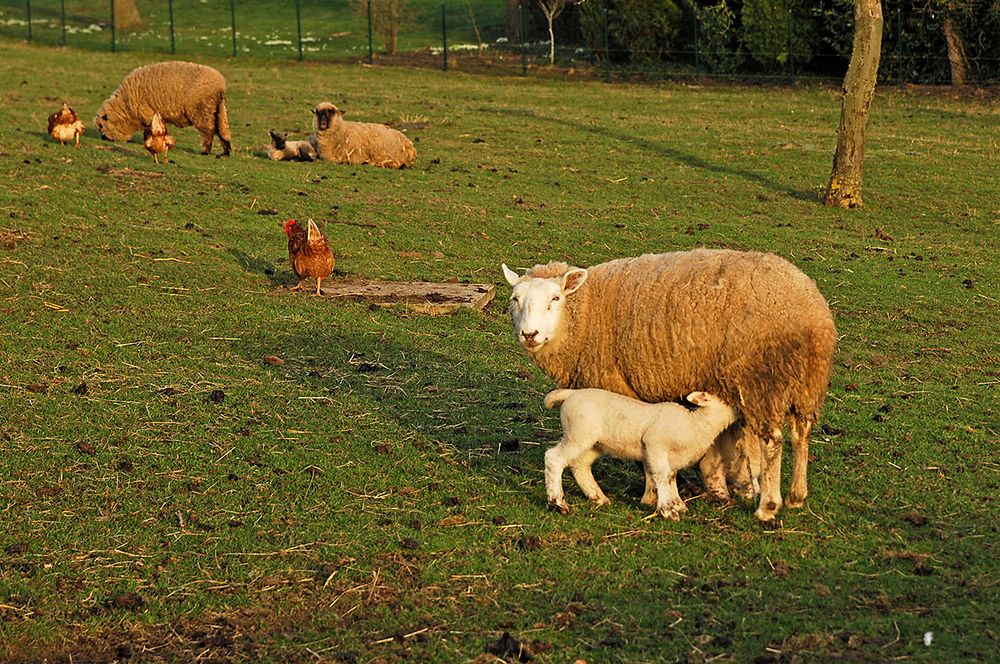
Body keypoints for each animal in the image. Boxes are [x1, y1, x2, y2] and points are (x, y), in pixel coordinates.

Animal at [94, 60, 232, 156]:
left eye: (101, 126)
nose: (103, 139)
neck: (126, 108)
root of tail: (220, 85)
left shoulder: (147, 114)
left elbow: (149, 131)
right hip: (218, 110)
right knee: (222, 131)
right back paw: (225, 153)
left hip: (202, 110)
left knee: (208, 132)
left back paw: (205, 151)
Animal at [544, 386, 740, 520]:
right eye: (728, 396)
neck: (696, 424)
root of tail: (570, 394)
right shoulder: (655, 444)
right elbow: (662, 475)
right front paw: (667, 510)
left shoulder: (672, 457)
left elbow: (671, 477)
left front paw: (677, 504)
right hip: (578, 433)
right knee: (554, 458)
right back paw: (558, 503)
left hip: (593, 443)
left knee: (580, 465)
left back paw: (598, 497)